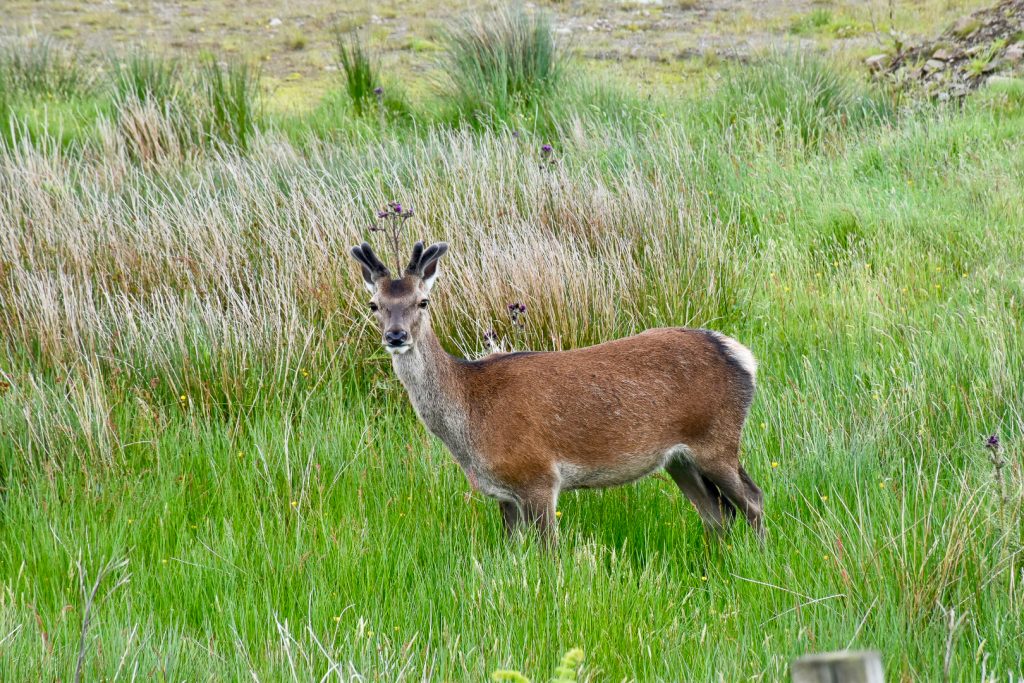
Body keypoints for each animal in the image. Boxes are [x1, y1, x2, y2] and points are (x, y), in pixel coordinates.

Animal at [351, 239, 764, 545]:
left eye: (423, 301)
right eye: (374, 305)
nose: (396, 336)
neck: (470, 418)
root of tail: (742, 356)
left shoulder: (538, 475)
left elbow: (549, 552)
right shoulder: (504, 492)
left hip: (717, 438)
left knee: (752, 501)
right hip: (680, 458)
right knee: (717, 514)